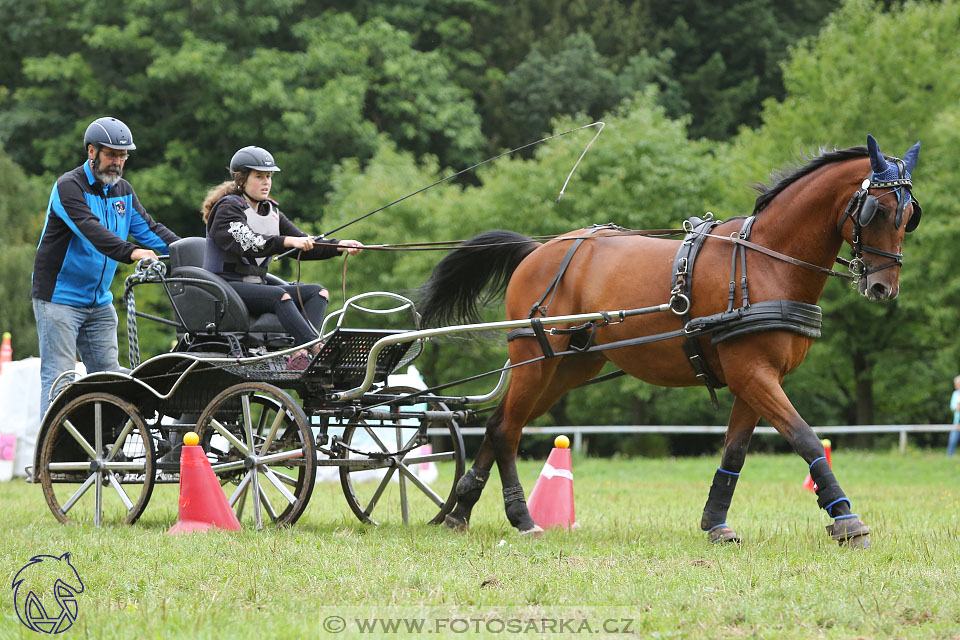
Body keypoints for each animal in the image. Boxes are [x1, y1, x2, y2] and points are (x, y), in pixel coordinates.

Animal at [420, 132, 924, 548]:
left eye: (908, 216)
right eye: (876, 210)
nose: (884, 287)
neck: (766, 262)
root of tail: (539, 248)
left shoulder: (755, 378)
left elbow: (735, 451)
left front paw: (716, 523)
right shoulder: (753, 373)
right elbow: (806, 438)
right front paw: (846, 519)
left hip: (567, 366)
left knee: (499, 423)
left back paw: (461, 511)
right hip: (536, 357)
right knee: (508, 428)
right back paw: (522, 519)